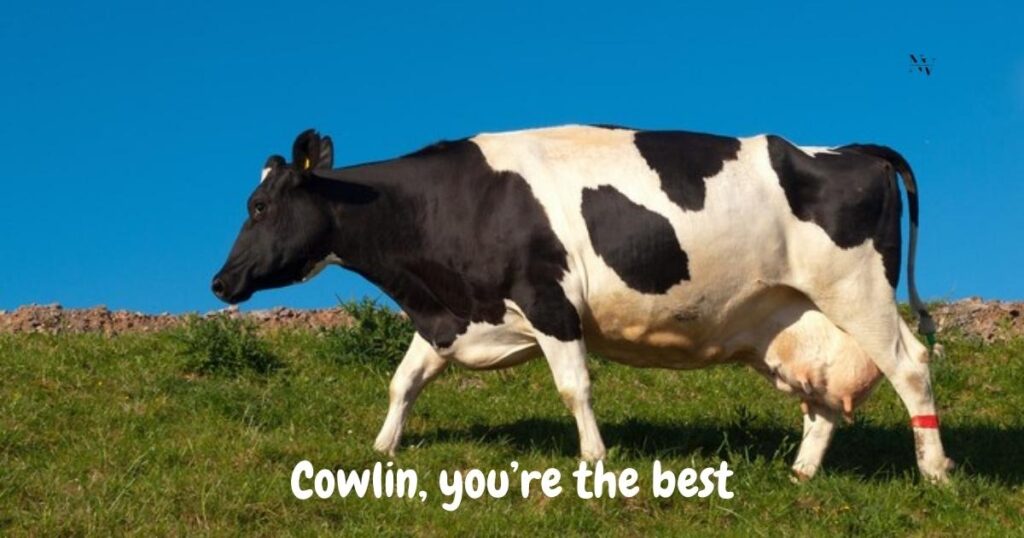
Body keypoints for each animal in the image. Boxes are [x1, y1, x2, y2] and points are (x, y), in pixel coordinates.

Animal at [212, 125, 953, 482]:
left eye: (260, 205)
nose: (220, 283)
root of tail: (851, 149)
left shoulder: (547, 298)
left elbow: (575, 386)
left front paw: (595, 460)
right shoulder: (456, 312)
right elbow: (405, 381)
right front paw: (381, 449)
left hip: (857, 290)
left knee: (910, 365)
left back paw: (936, 471)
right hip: (792, 316)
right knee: (824, 397)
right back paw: (800, 474)